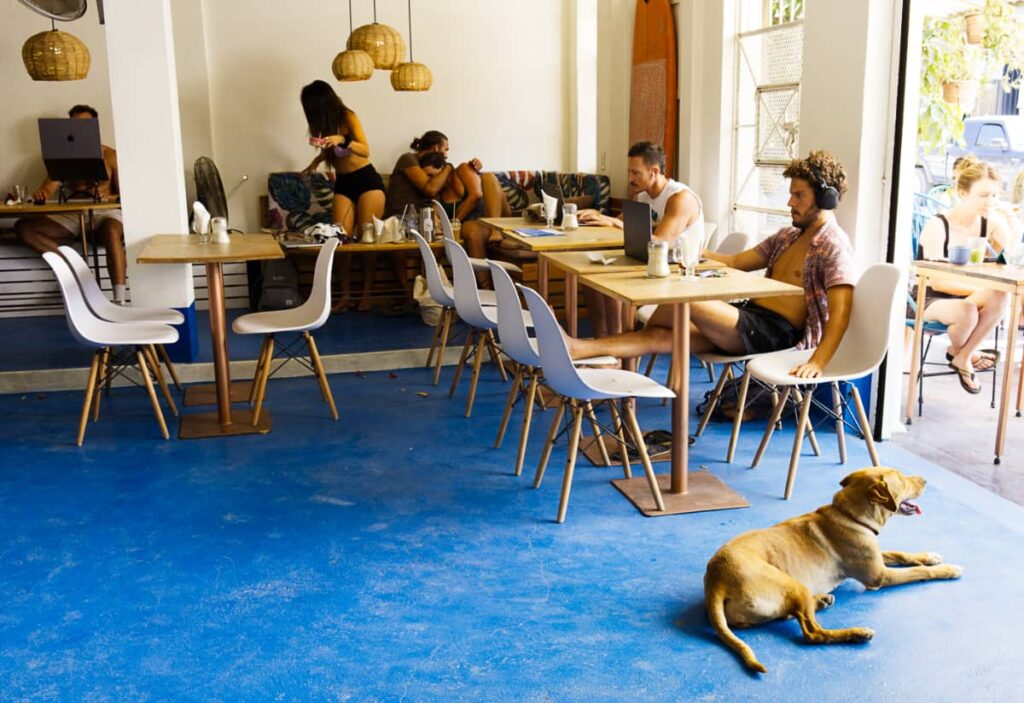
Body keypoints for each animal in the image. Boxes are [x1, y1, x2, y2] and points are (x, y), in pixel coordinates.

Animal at [700, 470, 962, 675]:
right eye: (902, 479)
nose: (925, 480)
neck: (851, 516)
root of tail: (715, 581)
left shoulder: (877, 559)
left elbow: (902, 554)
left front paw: (930, 556)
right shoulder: (879, 576)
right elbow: (919, 571)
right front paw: (948, 569)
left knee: (791, 615)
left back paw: (820, 601)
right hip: (794, 585)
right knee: (813, 633)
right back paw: (855, 633)